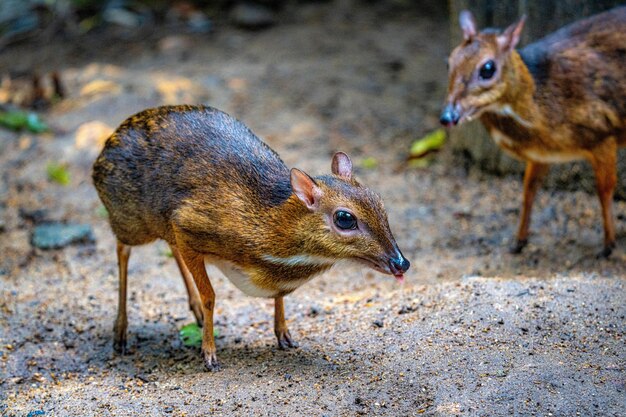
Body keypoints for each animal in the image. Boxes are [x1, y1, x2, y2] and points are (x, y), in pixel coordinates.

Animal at [90, 105, 408, 370]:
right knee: (122, 250)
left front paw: (283, 335)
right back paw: (120, 333)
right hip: (130, 220)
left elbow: (279, 296)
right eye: (345, 218)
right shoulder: (187, 225)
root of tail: (103, 151)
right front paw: (209, 353)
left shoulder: (181, 231)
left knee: (167, 248)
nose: (400, 262)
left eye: (380, 202)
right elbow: (211, 295)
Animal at [442, 6, 620, 255]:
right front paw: (518, 242)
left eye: (487, 69)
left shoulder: (603, 135)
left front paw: (608, 245)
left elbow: (604, 189)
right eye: (449, 62)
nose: (448, 116)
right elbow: (528, 190)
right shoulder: (541, 155)